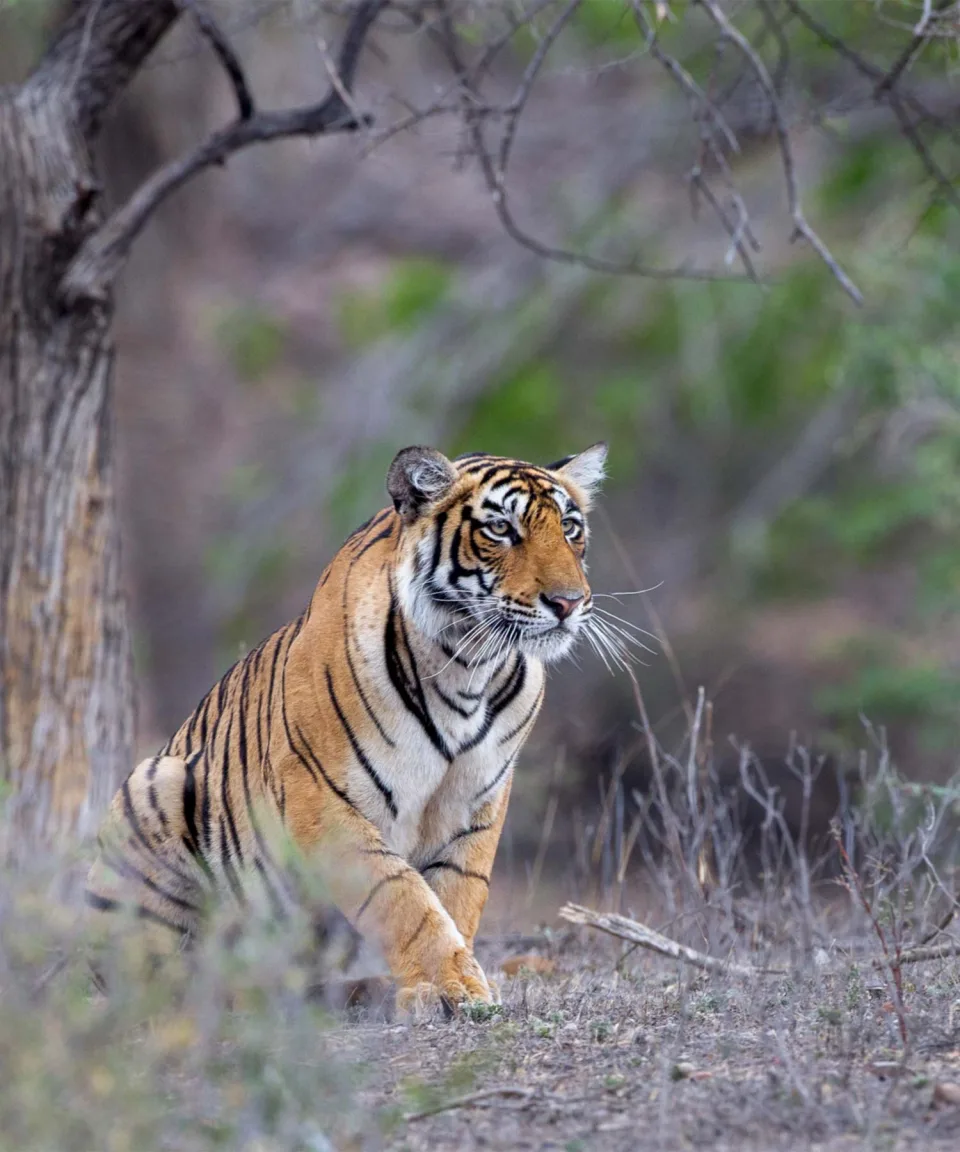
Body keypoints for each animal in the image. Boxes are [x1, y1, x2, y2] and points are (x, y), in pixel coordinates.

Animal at [85, 441, 608, 1011]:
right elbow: (402, 897)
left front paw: (451, 983)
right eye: (500, 529)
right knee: (154, 986)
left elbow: (456, 895)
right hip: (154, 783)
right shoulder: (323, 801)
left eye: (570, 528)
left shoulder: (477, 805)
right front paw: (453, 986)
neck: (468, 667)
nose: (569, 602)